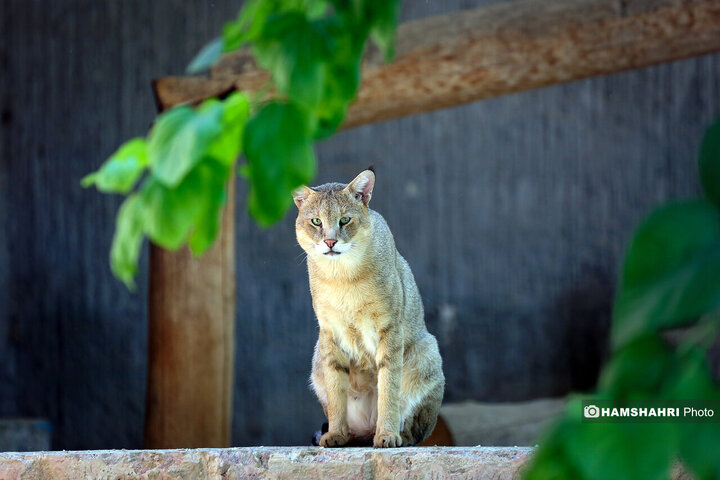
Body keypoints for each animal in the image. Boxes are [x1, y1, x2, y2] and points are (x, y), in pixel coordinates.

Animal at [292, 167, 444, 448]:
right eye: (316, 222)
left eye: (345, 220)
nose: (330, 242)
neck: (342, 277)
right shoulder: (329, 331)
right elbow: (336, 388)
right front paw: (336, 433)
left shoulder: (390, 328)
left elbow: (389, 386)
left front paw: (387, 435)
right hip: (317, 357)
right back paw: (347, 435)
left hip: (427, 349)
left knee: (418, 431)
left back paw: (397, 435)